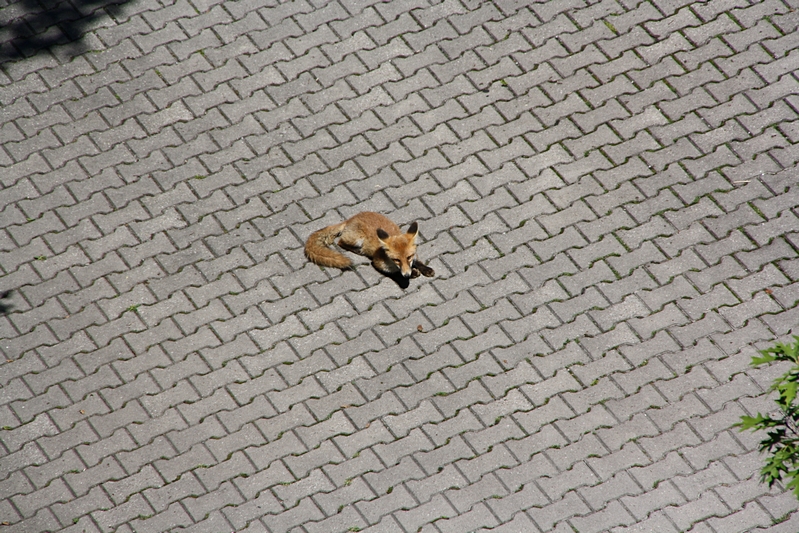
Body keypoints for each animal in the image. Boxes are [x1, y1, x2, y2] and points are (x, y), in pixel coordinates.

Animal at [305, 212, 435, 279]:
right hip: (356, 240)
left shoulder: (414, 256)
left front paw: (426, 269)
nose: (407, 275)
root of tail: (350, 219)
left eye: (408, 257)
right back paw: (358, 250)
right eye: (397, 260)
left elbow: (418, 262)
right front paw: (412, 273)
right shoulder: (377, 263)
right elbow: (395, 273)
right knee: (340, 242)